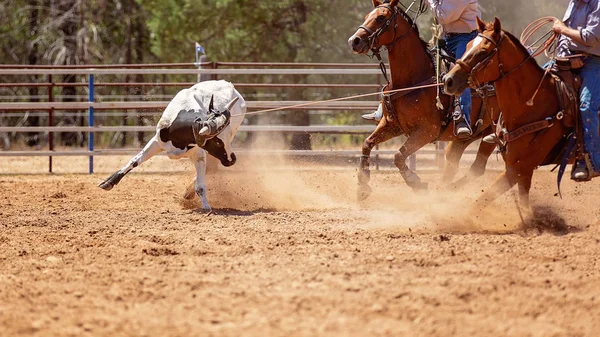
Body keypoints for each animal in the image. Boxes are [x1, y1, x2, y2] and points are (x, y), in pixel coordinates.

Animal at [99, 80, 245, 210]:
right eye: (217, 141)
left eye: (224, 139)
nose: (232, 159)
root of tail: (229, 84)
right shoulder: (157, 141)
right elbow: (134, 161)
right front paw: (108, 182)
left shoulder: (199, 154)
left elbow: (200, 185)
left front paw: (206, 206)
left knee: (209, 168)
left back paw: (189, 193)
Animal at [346, 0, 496, 200]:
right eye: (366, 16)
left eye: (381, 18)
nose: (354, 41)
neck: (413, 79)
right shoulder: (391, 125)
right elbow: (367, 143)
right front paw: (362, 185)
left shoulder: (427, 131)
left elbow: (398, 156)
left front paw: (416, 182)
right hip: (467, 137)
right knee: (454, 162)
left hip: (493, 133)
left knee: (478, 167)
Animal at [446, 17, 572, 210]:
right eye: (467, 45)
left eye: (483, 51)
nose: (448, 80)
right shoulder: (522, 171)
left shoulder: (519, 169)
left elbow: (479, 202)